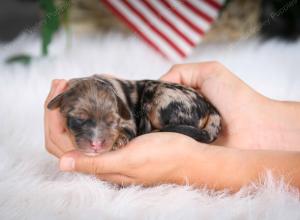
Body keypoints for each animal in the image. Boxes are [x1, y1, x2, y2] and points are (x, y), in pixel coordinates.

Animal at [47, 75, 220, 155]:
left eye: (112, 121)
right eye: (79, 119)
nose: (96, 144)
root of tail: (209, 106)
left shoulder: (128, 120)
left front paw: (118, 141)